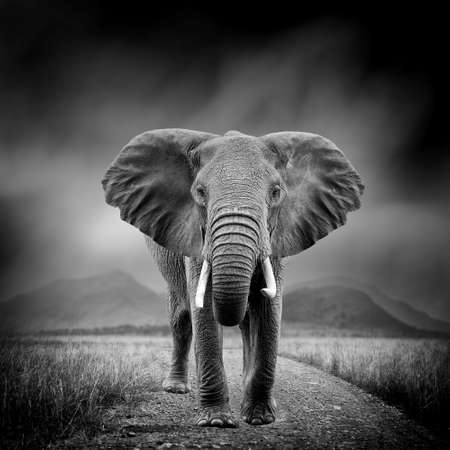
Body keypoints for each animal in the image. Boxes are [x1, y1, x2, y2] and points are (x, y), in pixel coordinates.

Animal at [101, 128, 362, 428]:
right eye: (200, 193)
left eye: (276, 192)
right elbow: (203, 309)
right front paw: (217, 422)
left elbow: (269, 310)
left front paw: (260, 418)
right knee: (181, 317)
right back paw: (176, 388)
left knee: (246, 323)